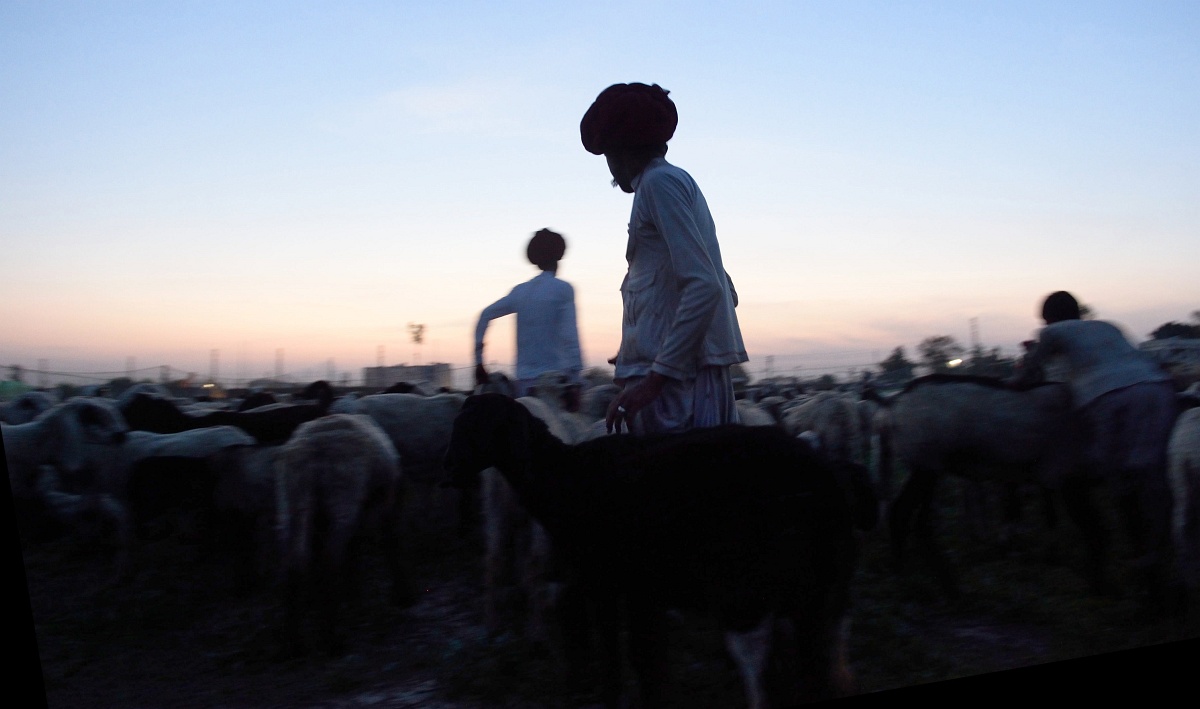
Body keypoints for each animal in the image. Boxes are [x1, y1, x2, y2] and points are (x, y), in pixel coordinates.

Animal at [274, 412, 415, 657]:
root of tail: (312, 449)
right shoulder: (386, 504)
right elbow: (390, 543)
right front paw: (401, 596)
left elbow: (354, 552)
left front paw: (354, 598)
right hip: (342, 495)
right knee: (330, 561)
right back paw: (332, 641)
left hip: (292, 502)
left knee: (292, 565)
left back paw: (294, 644)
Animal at [446, 393, 878, 709]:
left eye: (479, 426)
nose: (450, 472)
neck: (566, 478)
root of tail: (829, 481)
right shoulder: (640, 588)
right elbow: (646, 657)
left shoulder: (606, 581)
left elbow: (619, 655)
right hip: (821, 590)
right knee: (828, 666)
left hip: (750, 590)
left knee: (764, 667)